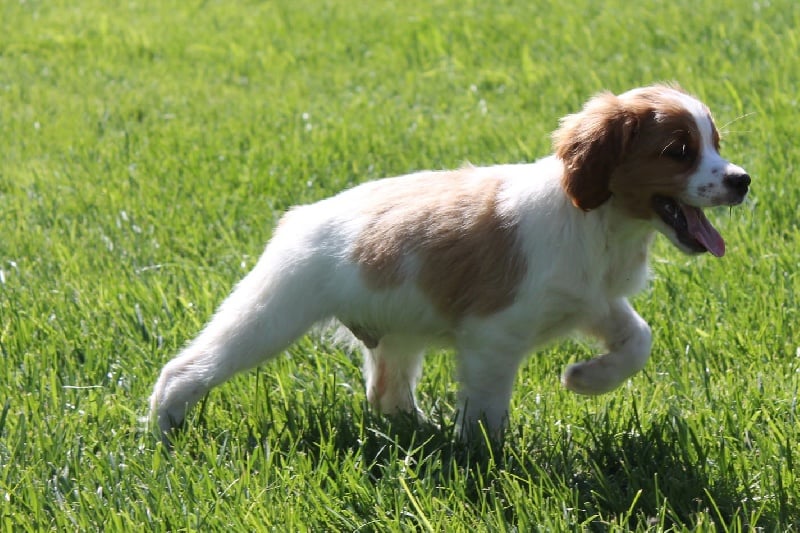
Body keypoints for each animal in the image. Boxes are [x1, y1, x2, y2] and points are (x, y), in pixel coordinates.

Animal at [150, 84, 752, 440]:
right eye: (678, 150)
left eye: (716, 142)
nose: (743, 180)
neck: (600, 224)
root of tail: (302, 216)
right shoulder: (494, 335)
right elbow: (487, 408)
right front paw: (486, 460)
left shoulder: (594, 301)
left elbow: (638, 340)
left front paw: (585, 379)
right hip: (271, 312)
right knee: (188, 367)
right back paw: (164, 432)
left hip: (394, 334)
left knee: (386, 395)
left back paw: (420, 432)